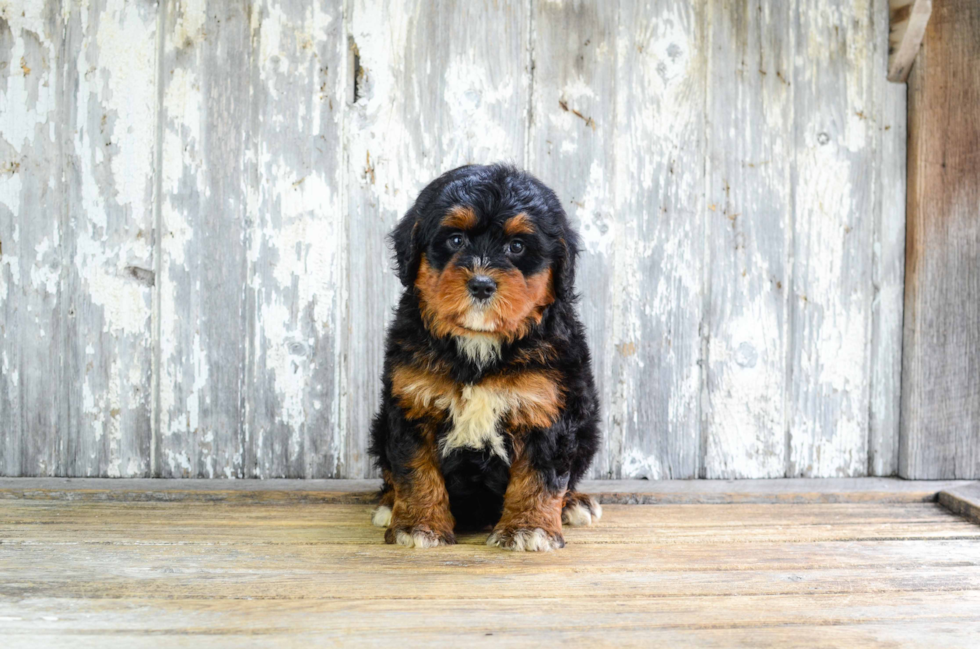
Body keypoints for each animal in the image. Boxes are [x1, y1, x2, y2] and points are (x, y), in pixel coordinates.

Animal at [368, 163, 596, 552]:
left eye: (517, 246)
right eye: (456, 240)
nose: (482, 284)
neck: (479, 343)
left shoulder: (547, 406)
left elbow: (540, 476)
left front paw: (527, 528)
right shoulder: (412, 402)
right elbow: (415, 469)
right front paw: (418, 526)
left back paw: (573, 503)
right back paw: (388, 504)